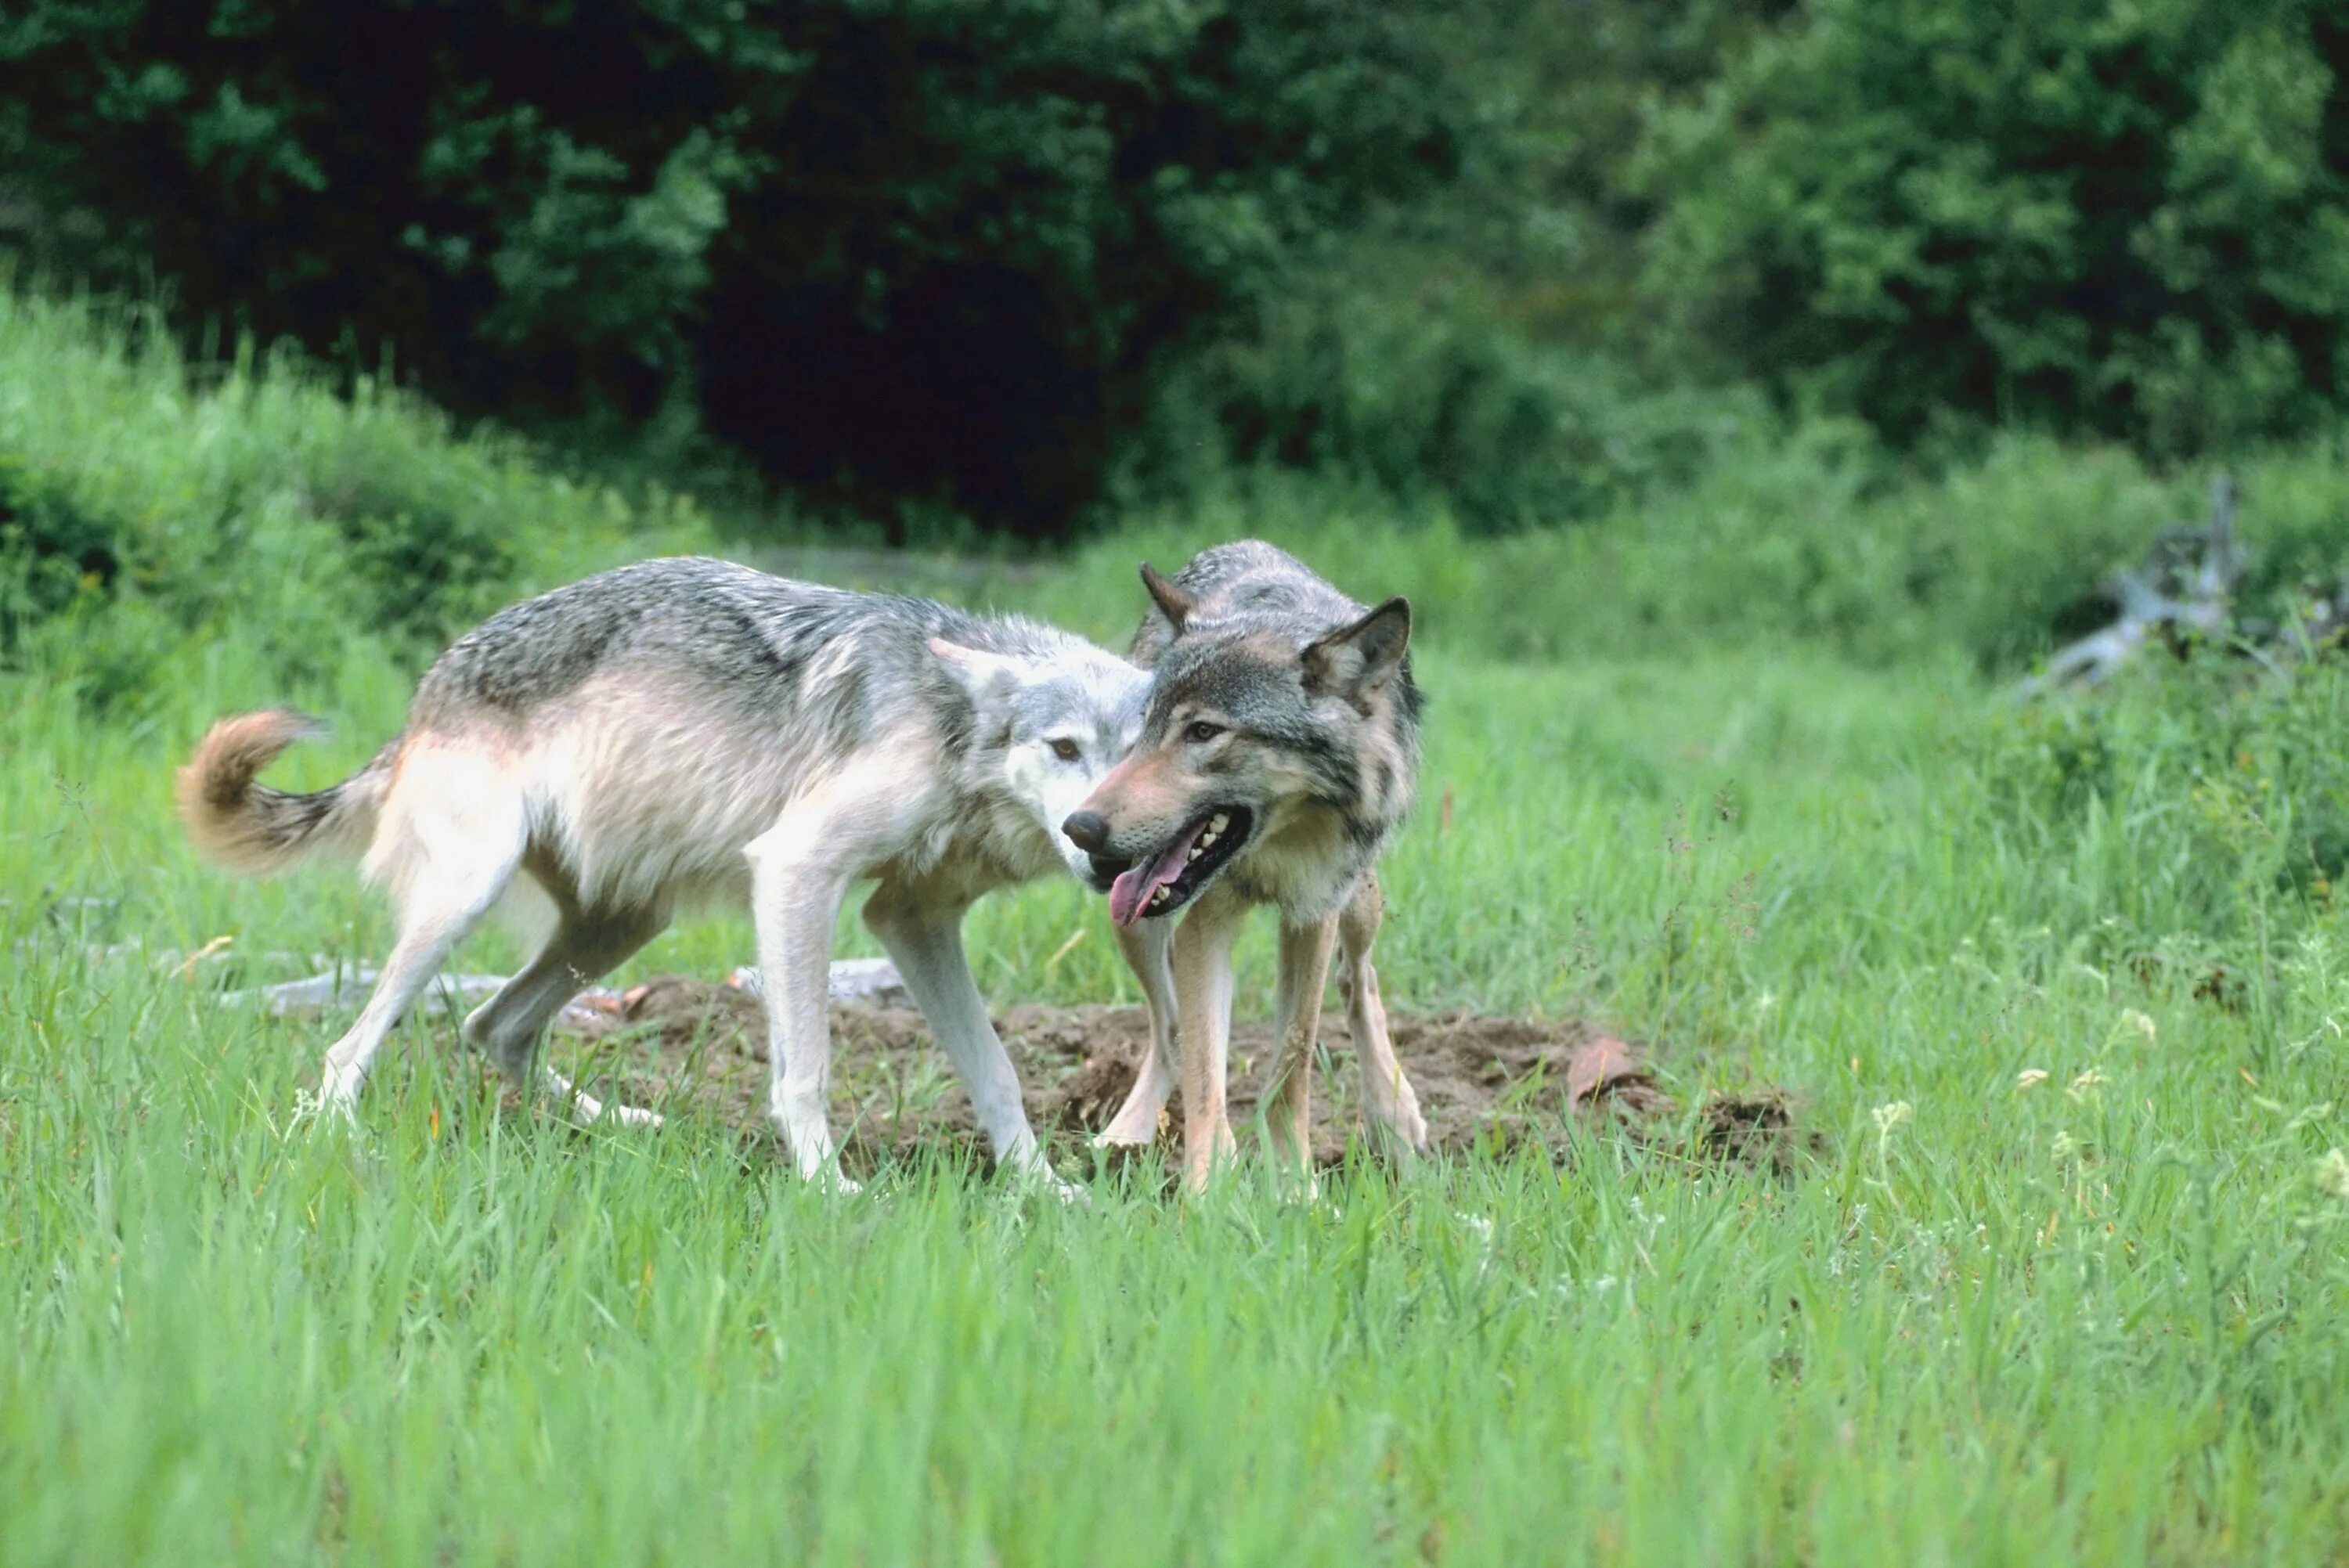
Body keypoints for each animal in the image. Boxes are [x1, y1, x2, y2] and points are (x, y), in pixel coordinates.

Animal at [176, 561, 1146, 1188]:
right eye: (1064, 748)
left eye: (1143, 754)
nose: (1096, 841)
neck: (950, 724)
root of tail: (423, 696)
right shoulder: (796, 870)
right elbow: (807, 1067)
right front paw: (828, 1189)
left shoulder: (913, 920)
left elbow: (997, 1072)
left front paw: (1045, 1192)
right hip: (465, 902)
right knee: (351, 1049)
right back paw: (339, 1144)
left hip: (625, 924)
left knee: (495, 1026)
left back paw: (623, 1123)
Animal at [1066, 542, 1428, 1188]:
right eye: (1147, 726)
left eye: (1204, 731)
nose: (1080, 829)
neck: (1279, 845)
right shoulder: (1202, 926)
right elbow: (1205, 1066)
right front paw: (1209, 1188)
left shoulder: (1312, 914)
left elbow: (1295, 1057)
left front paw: (1297, 1185)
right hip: (1133, 921)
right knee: (1169, 1028)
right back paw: (1127, 1133)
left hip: (1359, 900)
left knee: (1359, 980)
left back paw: (1395, 1115)